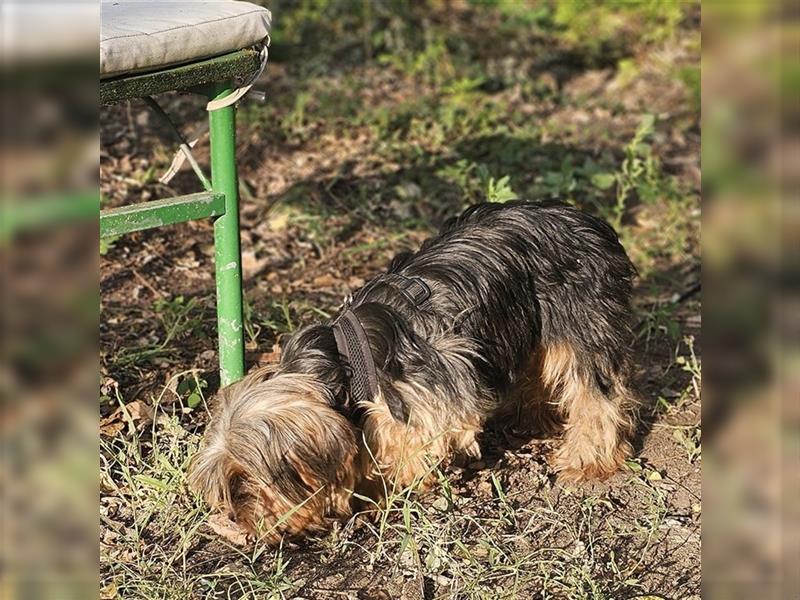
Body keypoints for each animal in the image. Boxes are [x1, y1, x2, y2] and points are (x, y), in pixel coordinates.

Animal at [189, 202, 636, 544]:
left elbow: (408, 451)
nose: (241, 526)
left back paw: (587, 459)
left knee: (596, 395)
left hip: (581, 325)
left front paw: (388, 494)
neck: (342, 363)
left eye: (242, 481)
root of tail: (587, 221)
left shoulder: (431, 397)